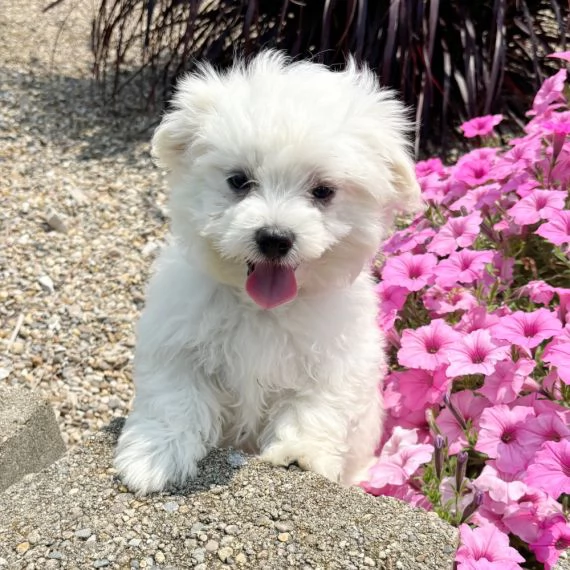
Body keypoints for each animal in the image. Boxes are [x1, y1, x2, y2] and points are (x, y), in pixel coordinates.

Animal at [113, 51, 420, 492]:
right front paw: (154, 457)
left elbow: (315, 407)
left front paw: (299, 456)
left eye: (323, 191)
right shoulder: (178, 342)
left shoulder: (334, 362)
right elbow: (175, 397)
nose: (274, 238)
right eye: (239, 180)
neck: (263, 307)